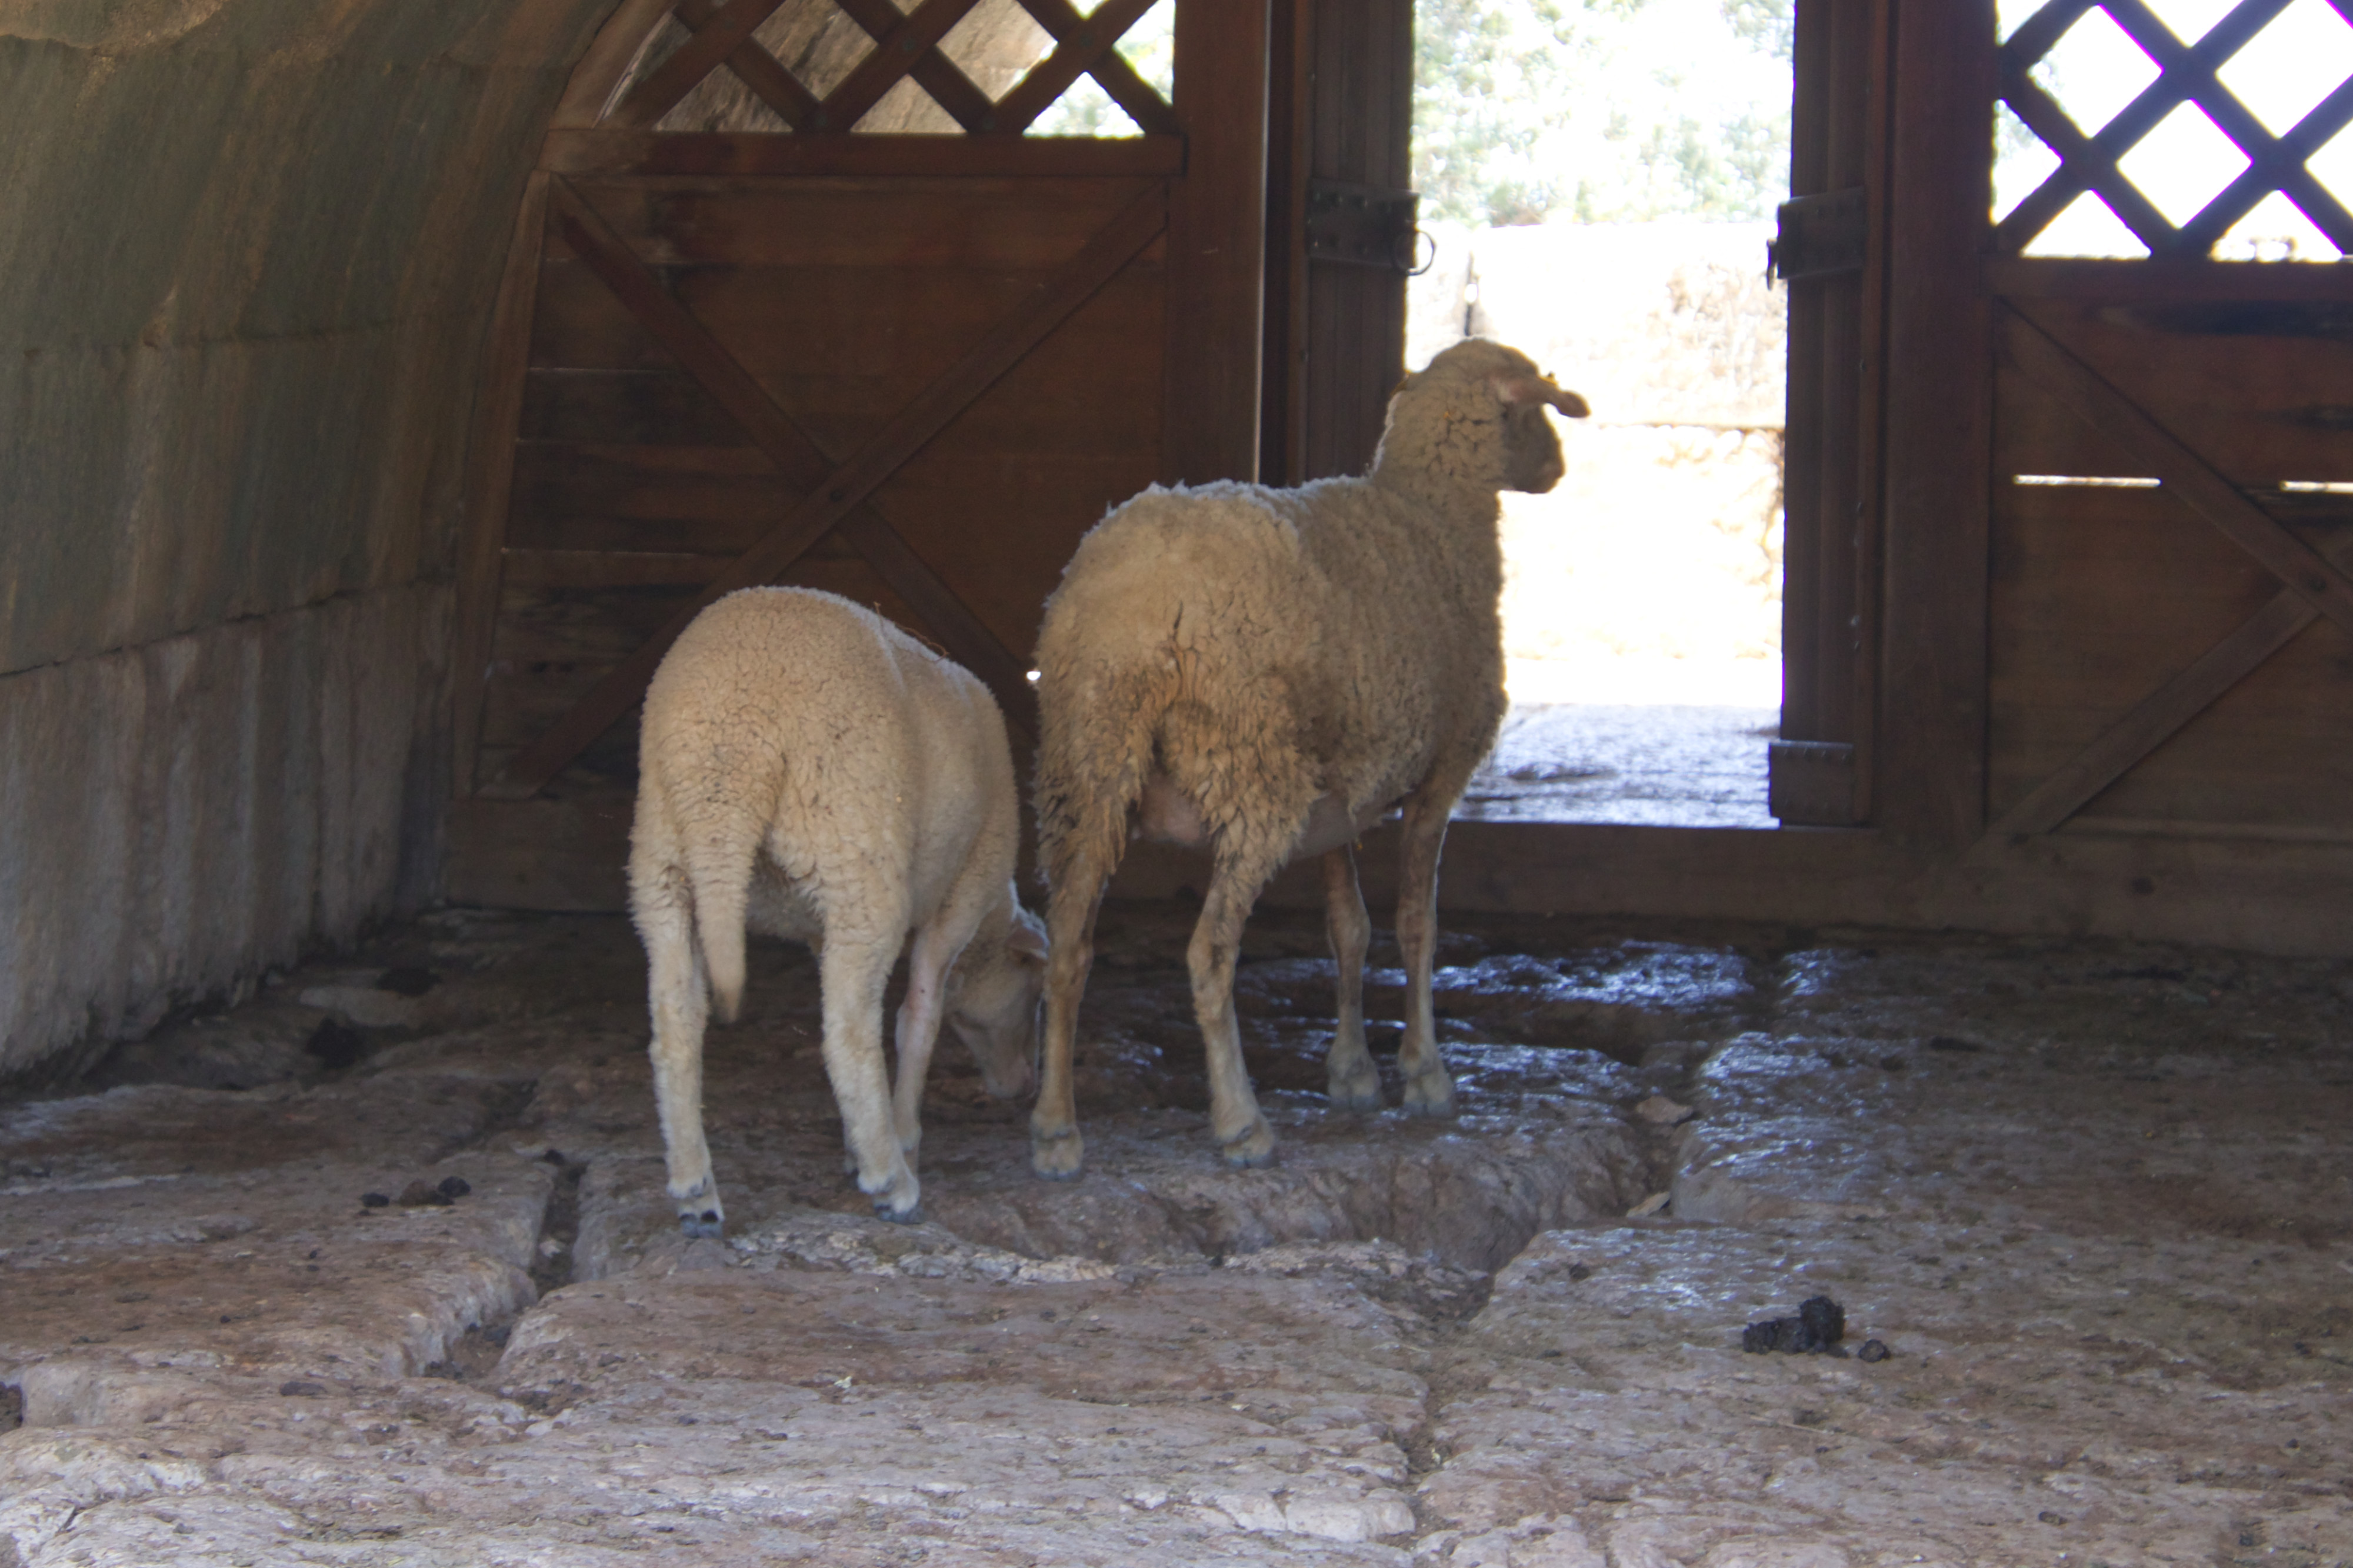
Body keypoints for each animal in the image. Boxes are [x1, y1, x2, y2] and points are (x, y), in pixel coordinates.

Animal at [635, 579, 1059, 1224]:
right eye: (1035, 996)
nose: (1024, 1088)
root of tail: (731, 749)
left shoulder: (819, 925)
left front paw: (853, 1144)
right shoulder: (960, 896)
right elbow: (918, 1017)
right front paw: (900, 1138)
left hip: (664, 866)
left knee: (677, 1024)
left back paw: (696, 1191)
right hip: (855, 852)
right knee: (849, 1033)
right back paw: (892, 1181)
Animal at [1026, 339, 1581, 1172]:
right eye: (1535, 404)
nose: (1558, 469)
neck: (1435, 515)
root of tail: (1139, 610)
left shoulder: (1338, 797)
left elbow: (1347, 928)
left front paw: (1352, 1074)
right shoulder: (1441, 773)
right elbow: (1417, 923)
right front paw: (1424, 1074)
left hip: (1087, 770)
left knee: (1066, 943)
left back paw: (1056, 1129)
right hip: (1248, 765)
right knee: (1207, 953)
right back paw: (1240, 1121)